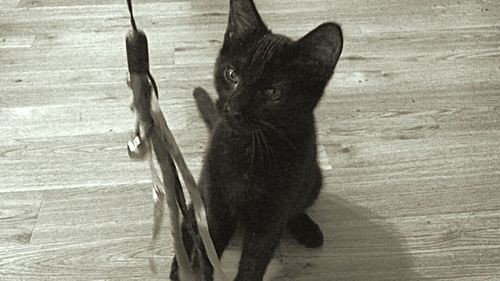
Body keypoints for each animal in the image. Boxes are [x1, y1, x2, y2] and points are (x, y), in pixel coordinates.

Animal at [170, 0, 342, 280]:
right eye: (232, 74)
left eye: (272, 92)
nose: (232, 109)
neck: (250, 149)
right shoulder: (217, 206)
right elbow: (207, 252)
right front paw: (199, 269)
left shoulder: (271, 217)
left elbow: (254, 261)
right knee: (190, 215)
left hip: (313, 178)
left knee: (297, 208)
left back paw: (306, 228)